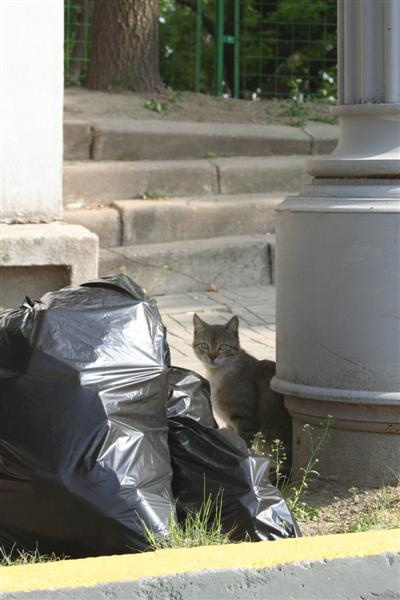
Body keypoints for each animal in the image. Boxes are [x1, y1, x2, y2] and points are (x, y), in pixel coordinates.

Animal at [193, 312, 290, 452]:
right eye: (204, 345)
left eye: (223, 347)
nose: (212, 357)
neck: (217, 375)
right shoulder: (230, 425)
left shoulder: (245, 421)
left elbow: (243, 445)